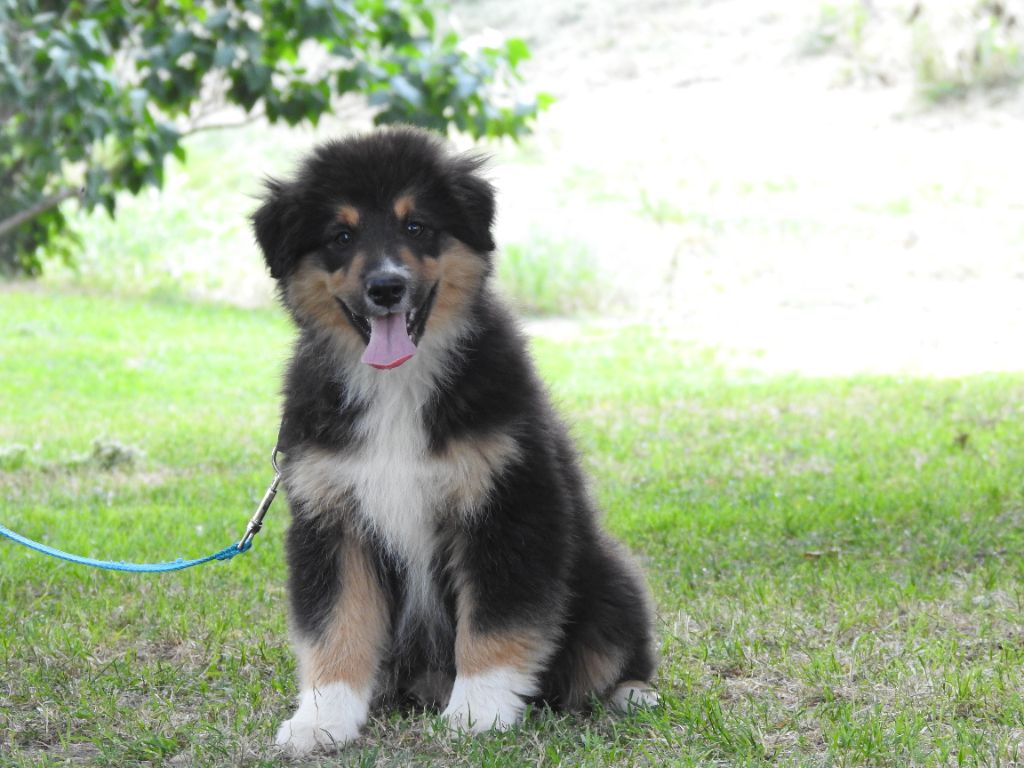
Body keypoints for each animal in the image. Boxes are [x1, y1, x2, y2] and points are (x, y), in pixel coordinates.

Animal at [252, 127, 657, 754]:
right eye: (341, 236)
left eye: (417, 226)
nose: (386, 287)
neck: (397, 386)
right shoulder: (332, 519)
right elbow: (336, 625)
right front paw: (323, 717)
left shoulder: (508, 507)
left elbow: (495, 622)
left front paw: (479, 711)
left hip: (609, 577)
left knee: (607, 653)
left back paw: (630, 694)